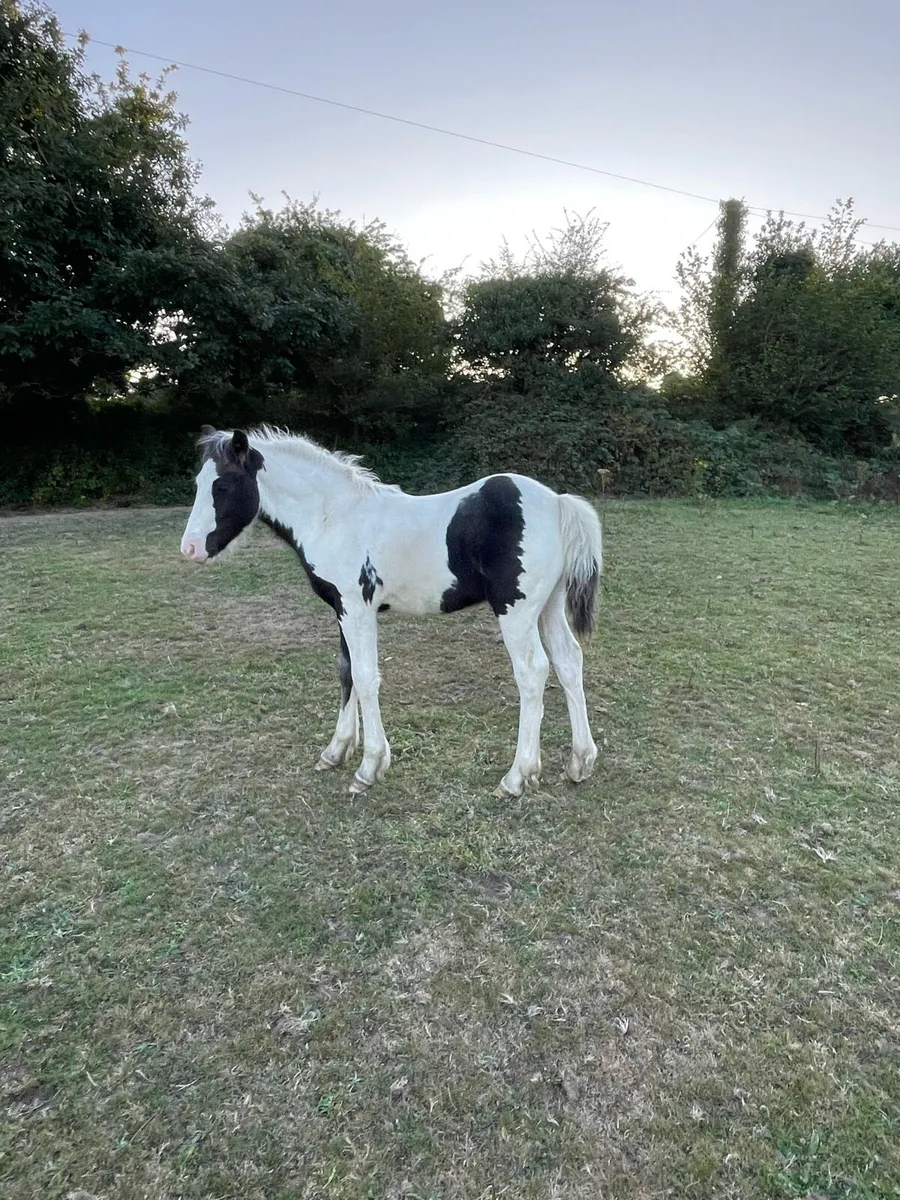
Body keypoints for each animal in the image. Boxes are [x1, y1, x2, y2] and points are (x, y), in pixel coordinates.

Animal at [180, 425, 603, 798]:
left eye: (222, 486)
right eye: (199, 484)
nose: (190, 549)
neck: (332, 517)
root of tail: (558, 503)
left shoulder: (357, 608)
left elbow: (366, 677)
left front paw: (369, 768)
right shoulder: (342, 609)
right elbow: (346, 671)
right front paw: (336, 751)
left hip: (515, 610)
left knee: (532, 672)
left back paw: (516, 778)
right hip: (548, 607)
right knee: (569, 661)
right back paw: (579, 763)